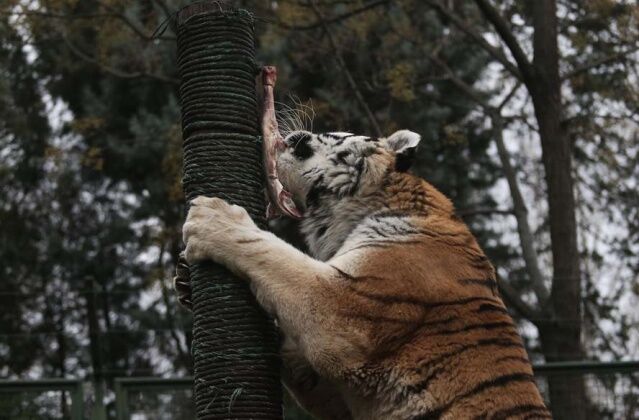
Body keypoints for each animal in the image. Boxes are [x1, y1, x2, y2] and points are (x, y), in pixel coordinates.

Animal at [176, 129, 551, 419]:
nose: (293, 137)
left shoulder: (341, 311)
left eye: (331, 135)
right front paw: (184, 283)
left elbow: (276, 256)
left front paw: (212, 218)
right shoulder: (338, 392)